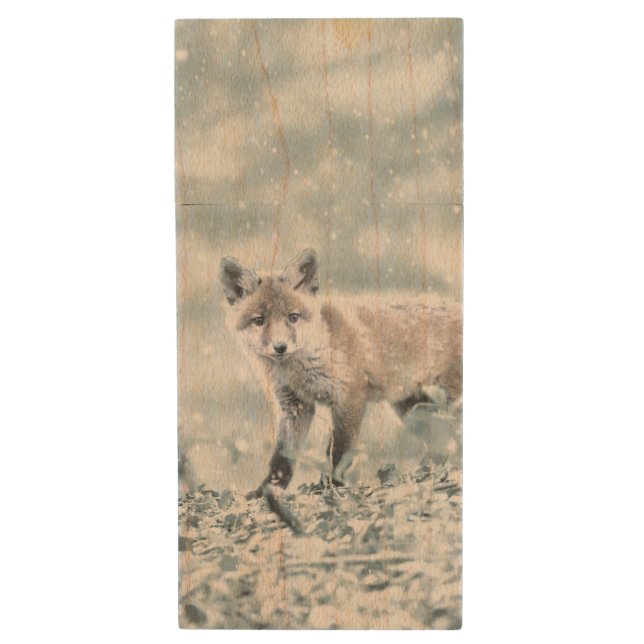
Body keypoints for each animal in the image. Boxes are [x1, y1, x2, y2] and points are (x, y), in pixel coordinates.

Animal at [219, 248, 462, 498]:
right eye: (259, 320)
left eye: (293, 317)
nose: (280, 347)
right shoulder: (294, 407)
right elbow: (282, 458)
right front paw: (267, 490)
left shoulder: (349, 396)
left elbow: (339, 452)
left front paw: (331, 486)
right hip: (411, 408)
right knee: (443, 439)